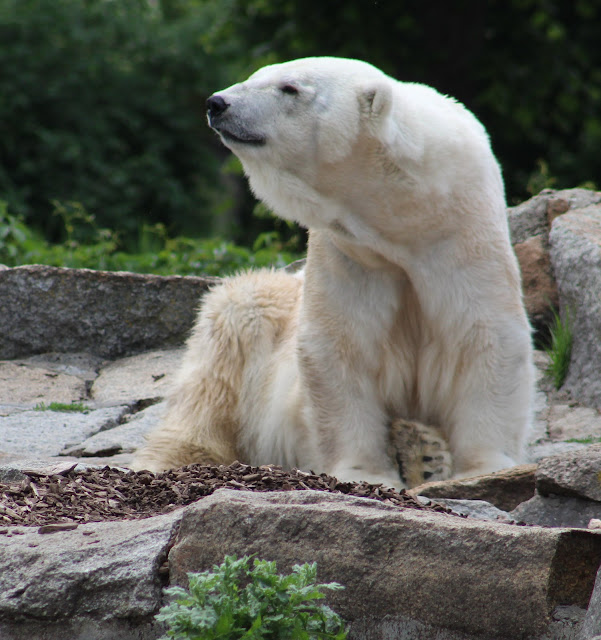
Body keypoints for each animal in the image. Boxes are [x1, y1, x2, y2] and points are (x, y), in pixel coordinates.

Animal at [132, 58, 536, 490]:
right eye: (256, 75)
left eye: (289, 87)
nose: (217, 103)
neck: (406, 219)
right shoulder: (351, 255)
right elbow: (340, 346)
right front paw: (364, 471)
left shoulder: (463, 239)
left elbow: (484, 336)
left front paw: (485, 467)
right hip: (255, 318)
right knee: (217, 370)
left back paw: (422, 452)